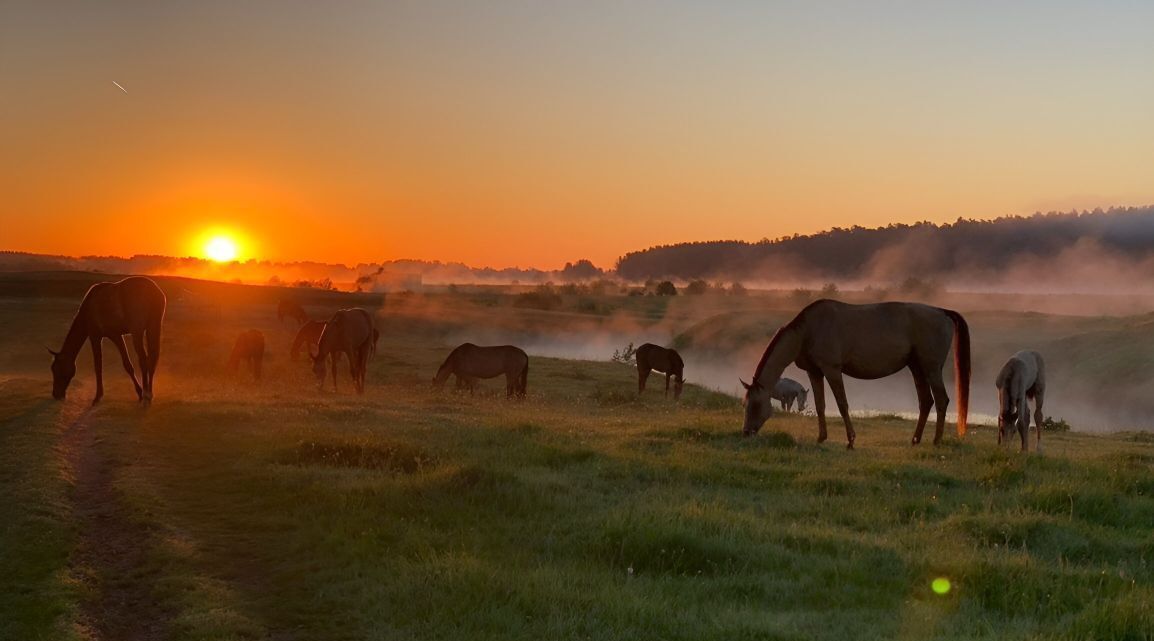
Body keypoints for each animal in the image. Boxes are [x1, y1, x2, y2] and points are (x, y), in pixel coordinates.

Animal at [48, 276, 166, 406]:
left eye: (56, 369)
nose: (56, 394)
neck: (88, 308)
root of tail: (154, 291)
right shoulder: (116, 336)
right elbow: (127, 365)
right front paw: (139, 393)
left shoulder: (95, 336)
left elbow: (98, 366)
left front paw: (98, 396)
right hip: (153, 328)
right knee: (152, 360)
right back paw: (149, 394)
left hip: (137, 332)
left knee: (144, 360)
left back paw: (146, 395)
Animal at [738, 300, 964, 445]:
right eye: (744, 404)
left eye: (756, 405)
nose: (746, 432)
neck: (807, 332)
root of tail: (942, 311)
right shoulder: (815, 372)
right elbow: (820, 405)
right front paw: (821, 437)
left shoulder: (832, 370)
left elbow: (842, 404)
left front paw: (851, 440)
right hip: (916, 368)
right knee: (926, 402)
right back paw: (915, 439)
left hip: (931, 369)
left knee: (941, 400)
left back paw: (936, 440)